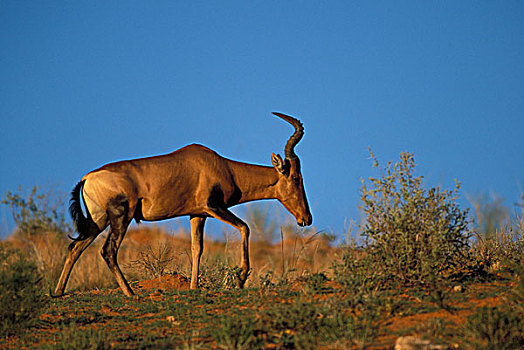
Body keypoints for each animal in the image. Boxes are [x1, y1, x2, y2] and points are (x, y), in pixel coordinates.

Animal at [54, 113, 312, 298]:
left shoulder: (198, 215)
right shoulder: (213, 207)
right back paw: (130, 293)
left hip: (98, 220)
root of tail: (87, 178)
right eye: (296, 178)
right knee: (108, 251)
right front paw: (240, 279)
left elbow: (197, 248)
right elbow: (244, 228)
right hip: (120, 217)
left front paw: (193, 287)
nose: (306, 219)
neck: (221, 166)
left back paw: (58, 292)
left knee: (75, 247)